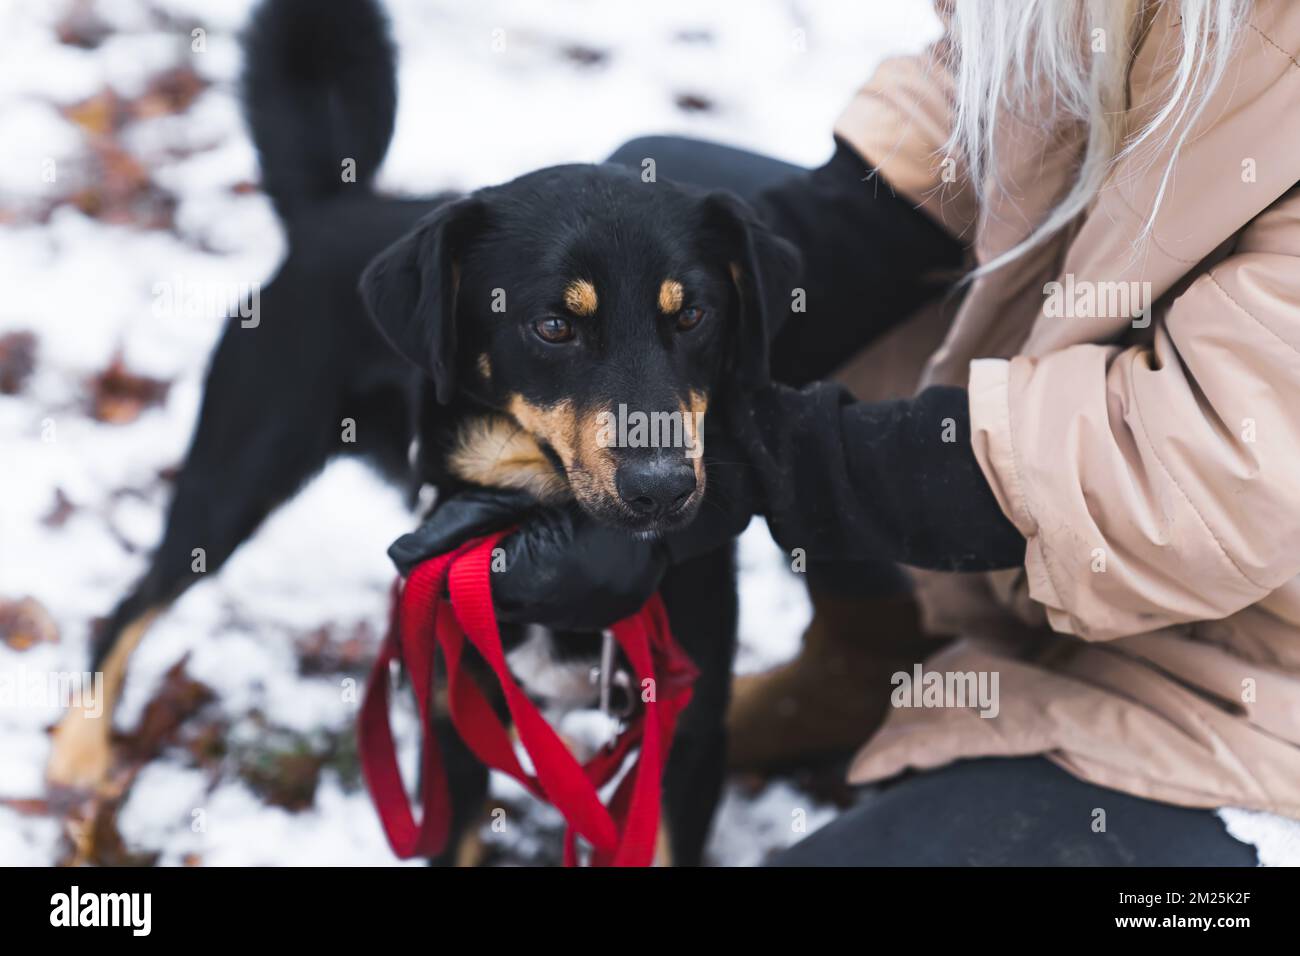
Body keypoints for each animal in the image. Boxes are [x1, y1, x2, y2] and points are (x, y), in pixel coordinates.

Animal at [45, 0, 795, 868]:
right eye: (553, 325)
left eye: (695, 314)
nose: (664, 490)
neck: (539, 516)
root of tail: (334, 209)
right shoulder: (455, 724)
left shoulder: (687, 736)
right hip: (234, 472)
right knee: (132, 604)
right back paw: (78, 760)